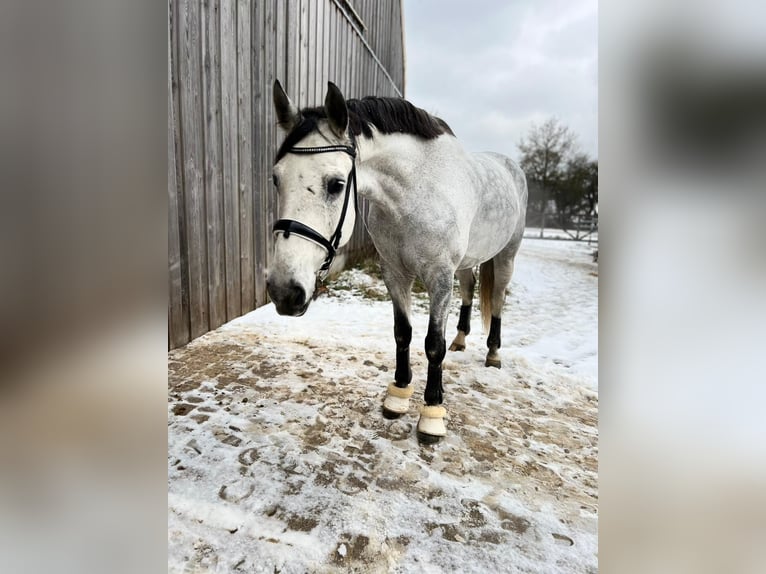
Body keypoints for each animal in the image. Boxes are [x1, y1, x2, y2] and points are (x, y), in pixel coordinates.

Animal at [267, 80, 527, 443]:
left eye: (336, 184)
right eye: (276, 179)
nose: (284, 292)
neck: (416, 193)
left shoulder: (438, 278)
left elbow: (433, 345)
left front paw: (431, 414)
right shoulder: (394, 273)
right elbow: (402, 333)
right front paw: (398, 395)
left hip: (506, 256)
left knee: (499, 298)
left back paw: (493, 354)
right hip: (465, 264)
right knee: (470, 289)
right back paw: (462, 340)